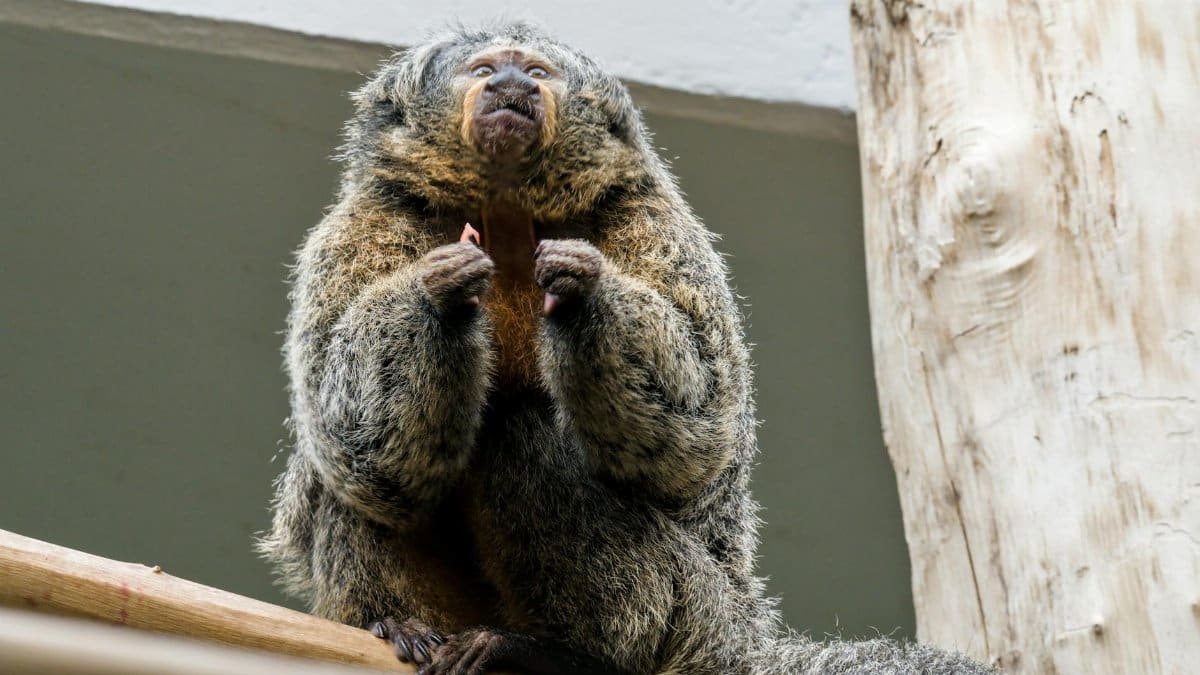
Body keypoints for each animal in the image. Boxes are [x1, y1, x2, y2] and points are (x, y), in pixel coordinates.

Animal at [259, 21, 996, 675]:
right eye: (483, 69)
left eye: (536, 72)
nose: (509, 85)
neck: (506, 212)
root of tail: (738, 634)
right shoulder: (363, 224)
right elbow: (354, 434)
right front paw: (442, 289)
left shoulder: (652, 219)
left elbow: (697, 434)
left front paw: (581, 287)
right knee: (350, 473)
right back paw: (404, 625)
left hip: (694, 607)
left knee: (523, 435)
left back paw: (562, 654)